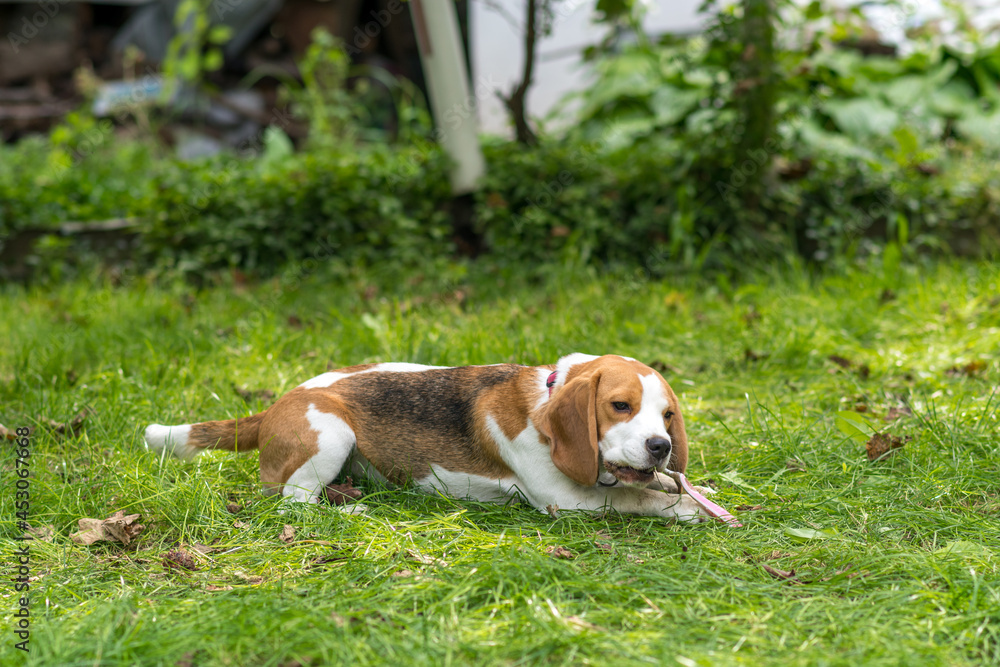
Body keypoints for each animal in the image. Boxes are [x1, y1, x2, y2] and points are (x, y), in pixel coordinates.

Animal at [146, 352, 712, 524]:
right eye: (620, 406)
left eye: (667, 416)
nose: (660, 447)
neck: (548, 395)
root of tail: (271, 409)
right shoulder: (566, 500)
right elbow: (641, 497)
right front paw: (688, 508)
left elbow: (649, 486)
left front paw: (684, 489)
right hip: (330, 432)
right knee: (292, 499)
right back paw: (351, 508)